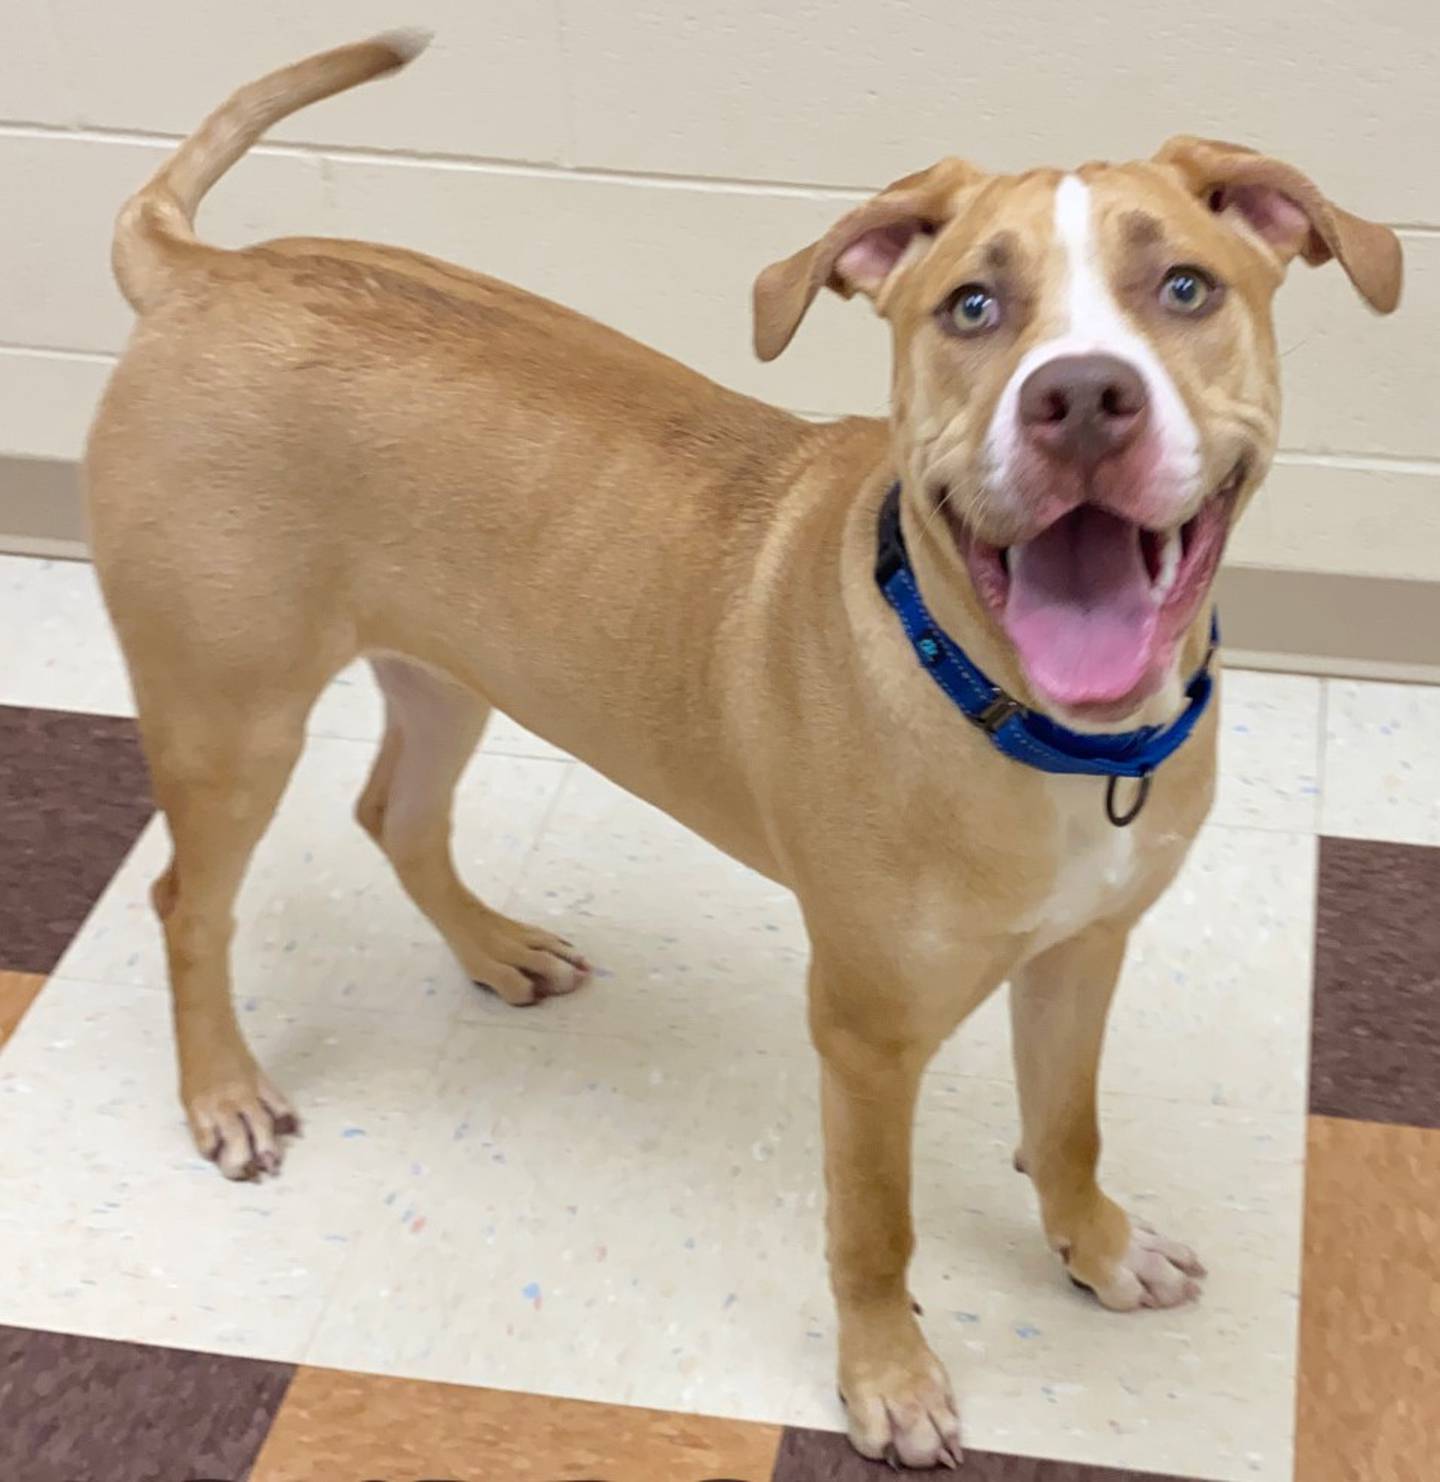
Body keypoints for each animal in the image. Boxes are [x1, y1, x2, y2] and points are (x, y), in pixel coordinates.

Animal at [87, 34, 1392, 1470]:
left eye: (1185, 287)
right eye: (972, 308)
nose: (1084, 398)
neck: (1036, 728)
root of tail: (204, 272)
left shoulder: (1086, 951)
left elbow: (1068, 1127)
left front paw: (1097, 1250)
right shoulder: (865, 1032)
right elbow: (875, 1226)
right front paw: (890, 1378)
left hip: (450, 672)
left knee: (395, 814)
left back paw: (494, 949)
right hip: (231, 714)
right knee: (187, 900)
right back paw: (225, 1091)